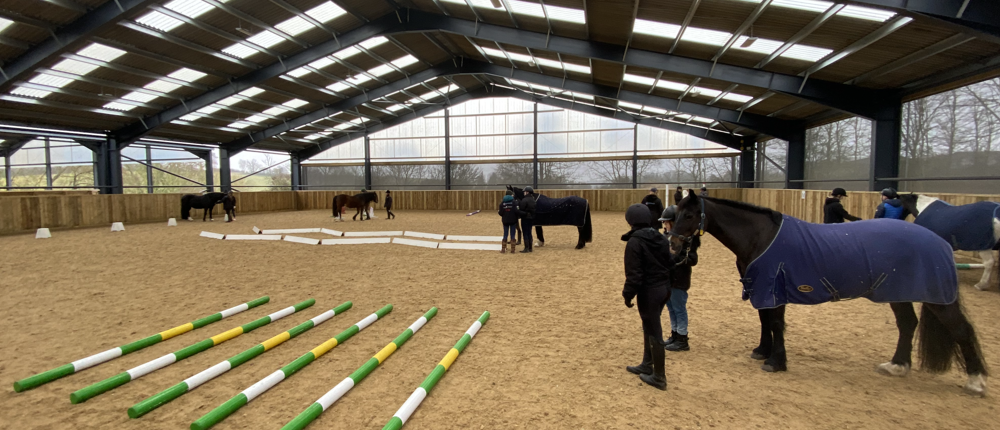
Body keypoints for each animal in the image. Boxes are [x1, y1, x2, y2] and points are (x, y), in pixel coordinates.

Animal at [668, 191, 988, 396]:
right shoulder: (762, 288)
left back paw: (976, 382)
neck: (762, 237)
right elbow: (764, 322)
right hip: (898, 294)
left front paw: (776, 362)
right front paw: (763, 351)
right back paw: (897, 366)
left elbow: (775, 324)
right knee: (908, 324)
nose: (673, 244)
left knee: (961, 329)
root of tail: (939, 242)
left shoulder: (775, 289)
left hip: (935, 298)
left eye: (690, 214)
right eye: (677, 213)